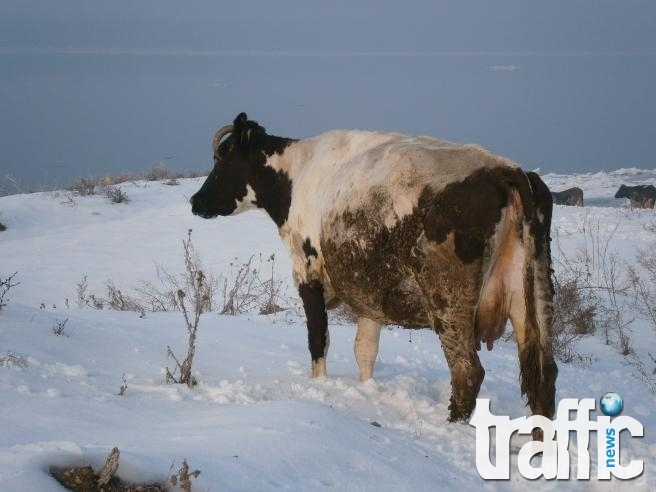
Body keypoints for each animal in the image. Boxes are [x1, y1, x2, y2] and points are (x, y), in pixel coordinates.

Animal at [191, 113, 560, 424]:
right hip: (531, 294)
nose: (195, 201)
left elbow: (318, 339)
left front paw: (320, 386)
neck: (297, 175)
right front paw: (366, 391)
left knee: (468, 372)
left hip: (449, 300)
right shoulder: (369, 291)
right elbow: (364, 350)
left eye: (223, 159)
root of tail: (504, 168)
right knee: (544, 375)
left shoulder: (308, 272)